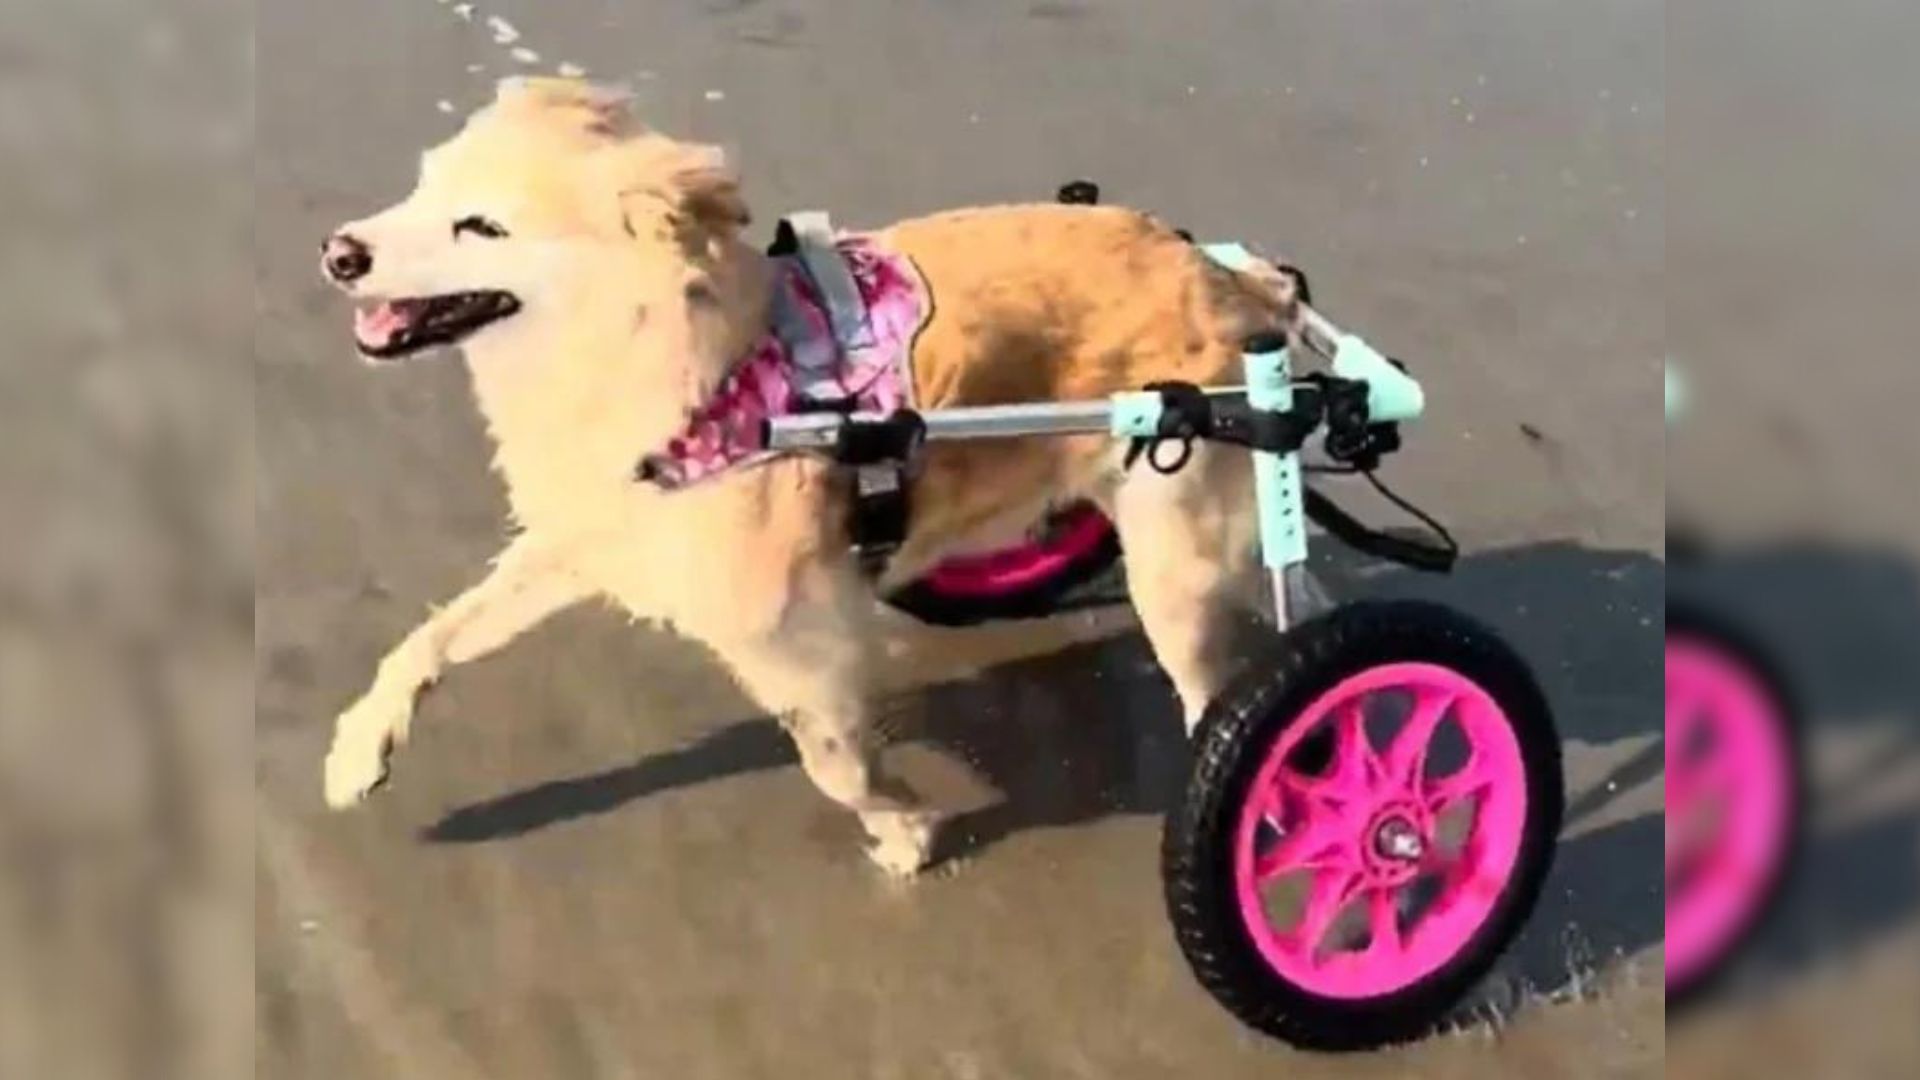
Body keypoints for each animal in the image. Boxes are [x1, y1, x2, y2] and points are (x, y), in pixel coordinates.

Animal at [322, 79, 1297, 868]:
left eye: (482, 226)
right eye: (424, 185)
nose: (338, 253)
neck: (697, 382)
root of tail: (1228, 280)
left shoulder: (801, 645)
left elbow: (835, 766)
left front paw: (903, 828)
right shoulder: (586, 542)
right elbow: (429, 639)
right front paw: (360, 747)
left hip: (1174, 568)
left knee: (1212, 695)